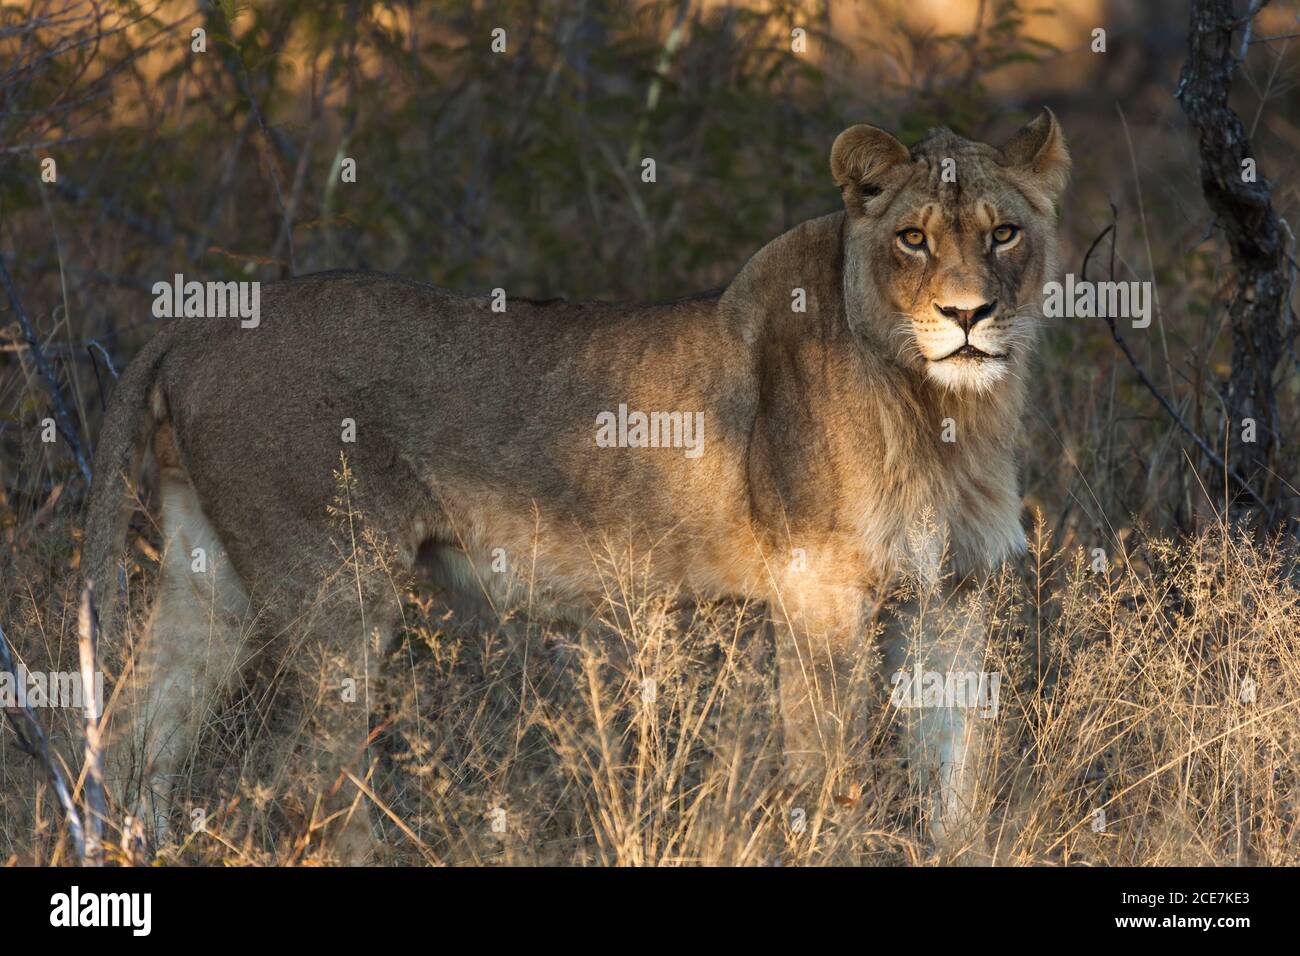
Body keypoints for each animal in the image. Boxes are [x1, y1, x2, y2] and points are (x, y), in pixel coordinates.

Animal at [86, 108, 1071, 863]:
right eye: (913, 238)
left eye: (1004, 232)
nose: (969, 314)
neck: (947, 411)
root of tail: (201, 323)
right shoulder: (820, 591)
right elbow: (831, 776)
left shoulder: (950, 595)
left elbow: (957, 779)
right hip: (338, 590)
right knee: (308, 779)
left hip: (211, 580)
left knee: (134, 738)